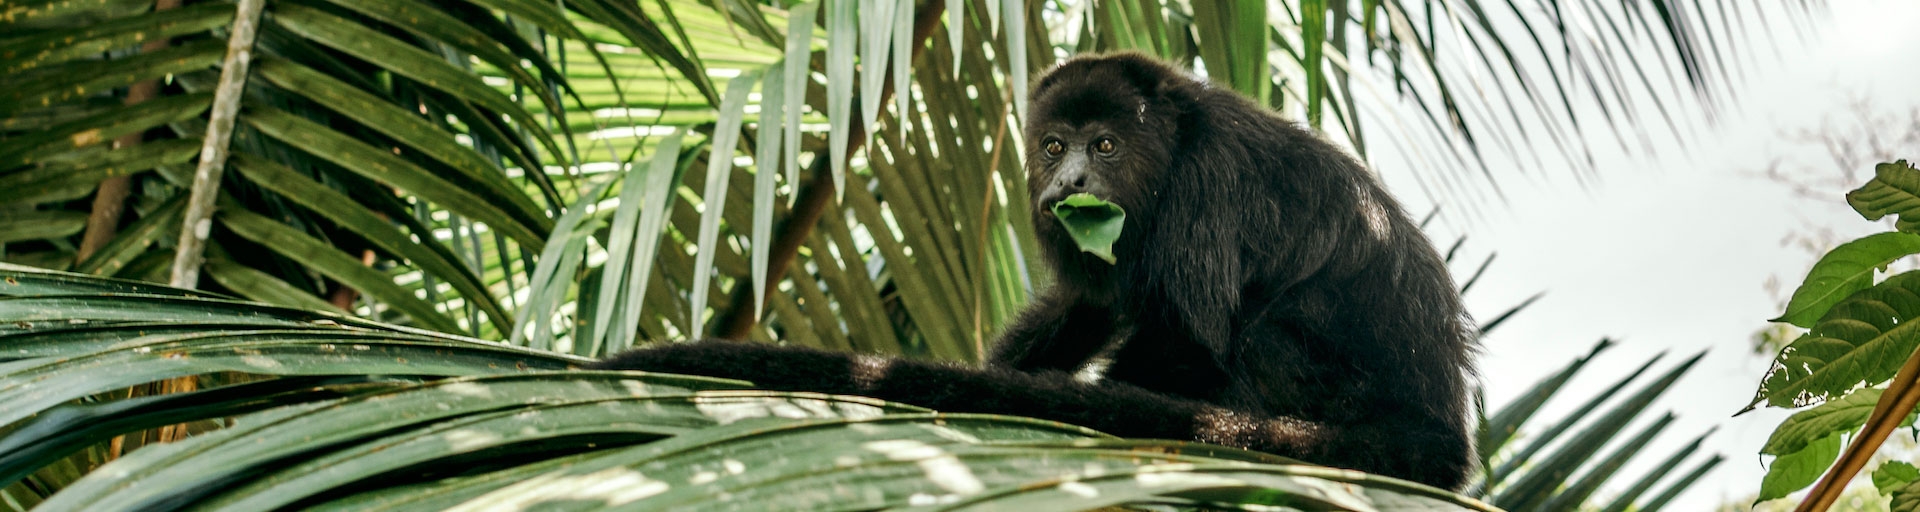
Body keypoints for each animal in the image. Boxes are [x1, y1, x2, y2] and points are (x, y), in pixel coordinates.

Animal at [591, 52, 1474, 494]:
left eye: (1105, 146)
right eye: (1055, 146)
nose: (1069, 180)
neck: (1168, 153)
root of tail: (1441, 420)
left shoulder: (1211, 185)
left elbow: (1191, 332)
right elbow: (1085, 303)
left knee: (1263, 333)